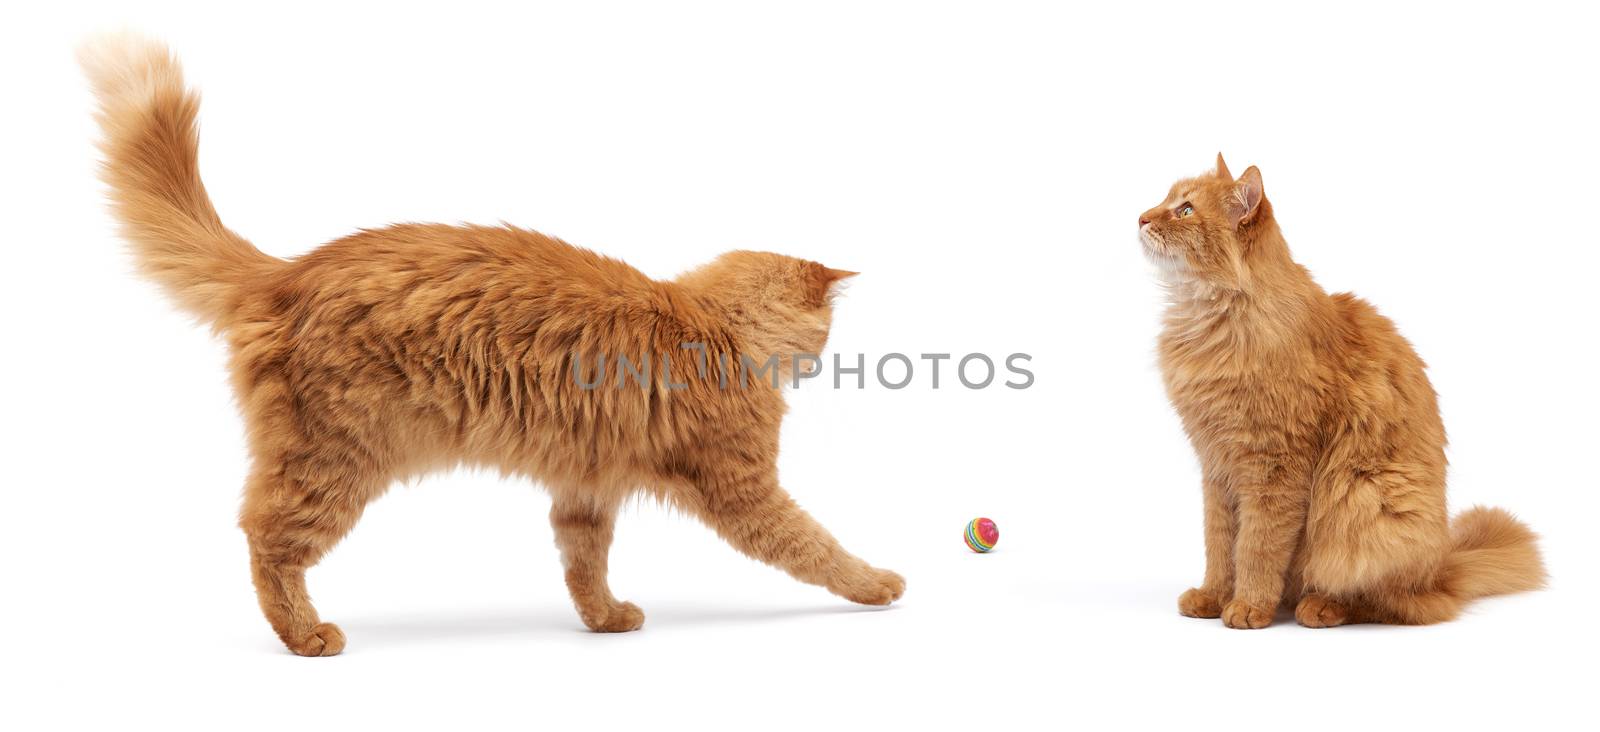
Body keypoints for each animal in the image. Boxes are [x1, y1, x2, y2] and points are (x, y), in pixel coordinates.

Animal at [81, 35, 902, 658]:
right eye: (827, 333)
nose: (821, 361)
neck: (709, 324)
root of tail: (288, 270)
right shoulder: (742, 488)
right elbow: (816, 546)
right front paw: (879, 585)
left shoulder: (585, 488)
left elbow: (583, 567)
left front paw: (605, 621)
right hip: (333, 462)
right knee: (266, 539)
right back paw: (307, 635)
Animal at [1145, 154, 1542, 629]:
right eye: (1166, 201)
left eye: (1185, 210)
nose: (1142, 218)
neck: (1209, 318)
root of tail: (1440, 570)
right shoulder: (1216, 468)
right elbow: (1220, 545)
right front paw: (1213, 596)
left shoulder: (1274, 464)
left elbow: (1257, 546)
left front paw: (1248, 606)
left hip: (1362, 501)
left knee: (1385, 600)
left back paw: (1320, 606)